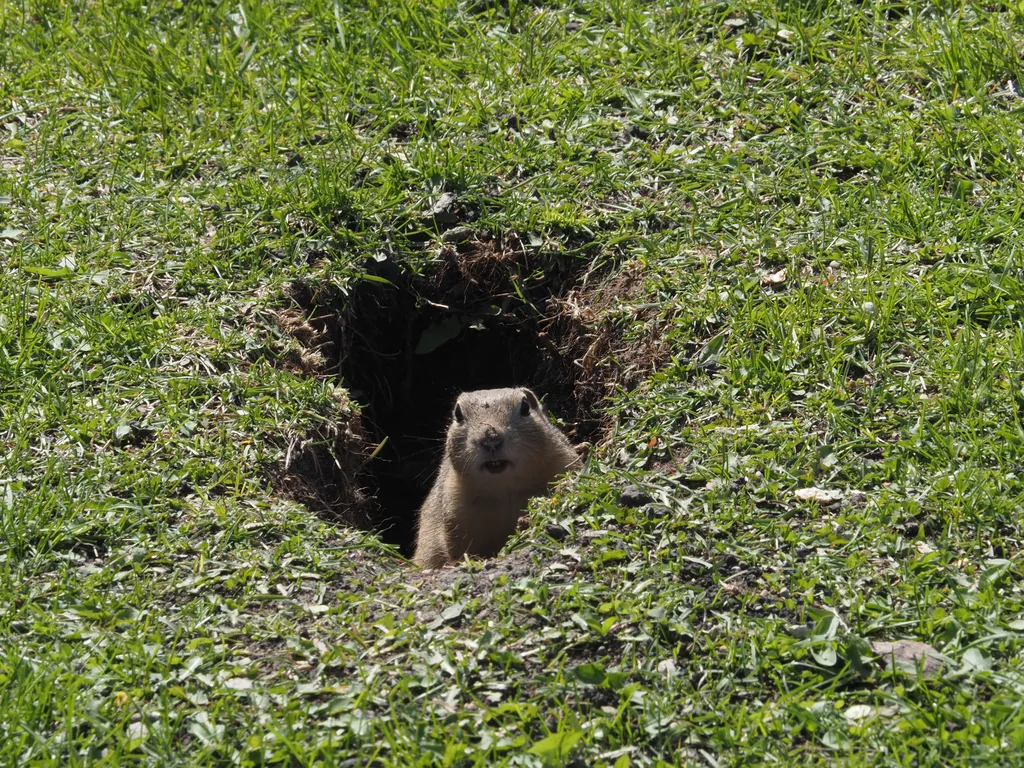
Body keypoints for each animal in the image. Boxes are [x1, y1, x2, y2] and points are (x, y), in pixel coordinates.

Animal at [412, 388, 580, 569]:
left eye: (525, 406)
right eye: (458, 413)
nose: (490, 438)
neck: (505, 489)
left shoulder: (563, 462)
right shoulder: (455, 511)